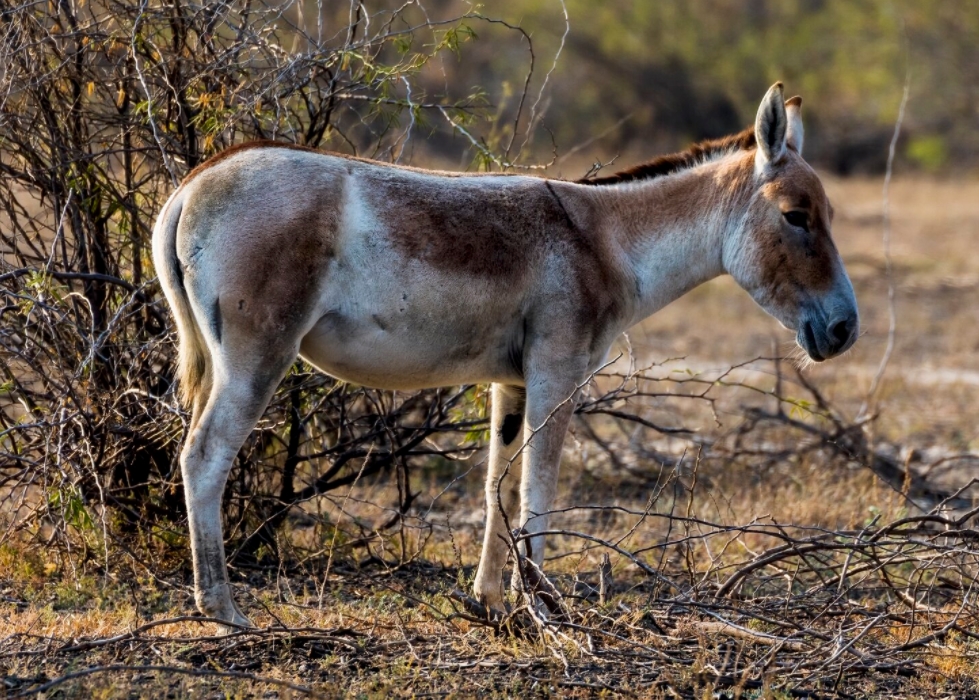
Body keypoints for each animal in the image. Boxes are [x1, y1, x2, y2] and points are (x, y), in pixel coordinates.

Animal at [152, 82, 858, 631]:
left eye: (828, 211)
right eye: (797, 216)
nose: (845, 328)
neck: (606, 241)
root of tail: (192, 185)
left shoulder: (510, 385)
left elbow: (498, 485)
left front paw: (488, 603)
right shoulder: (557, 373)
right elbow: (538, 488)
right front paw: (541, 607)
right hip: (257, 359)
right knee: (203, 458)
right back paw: (222, 610)